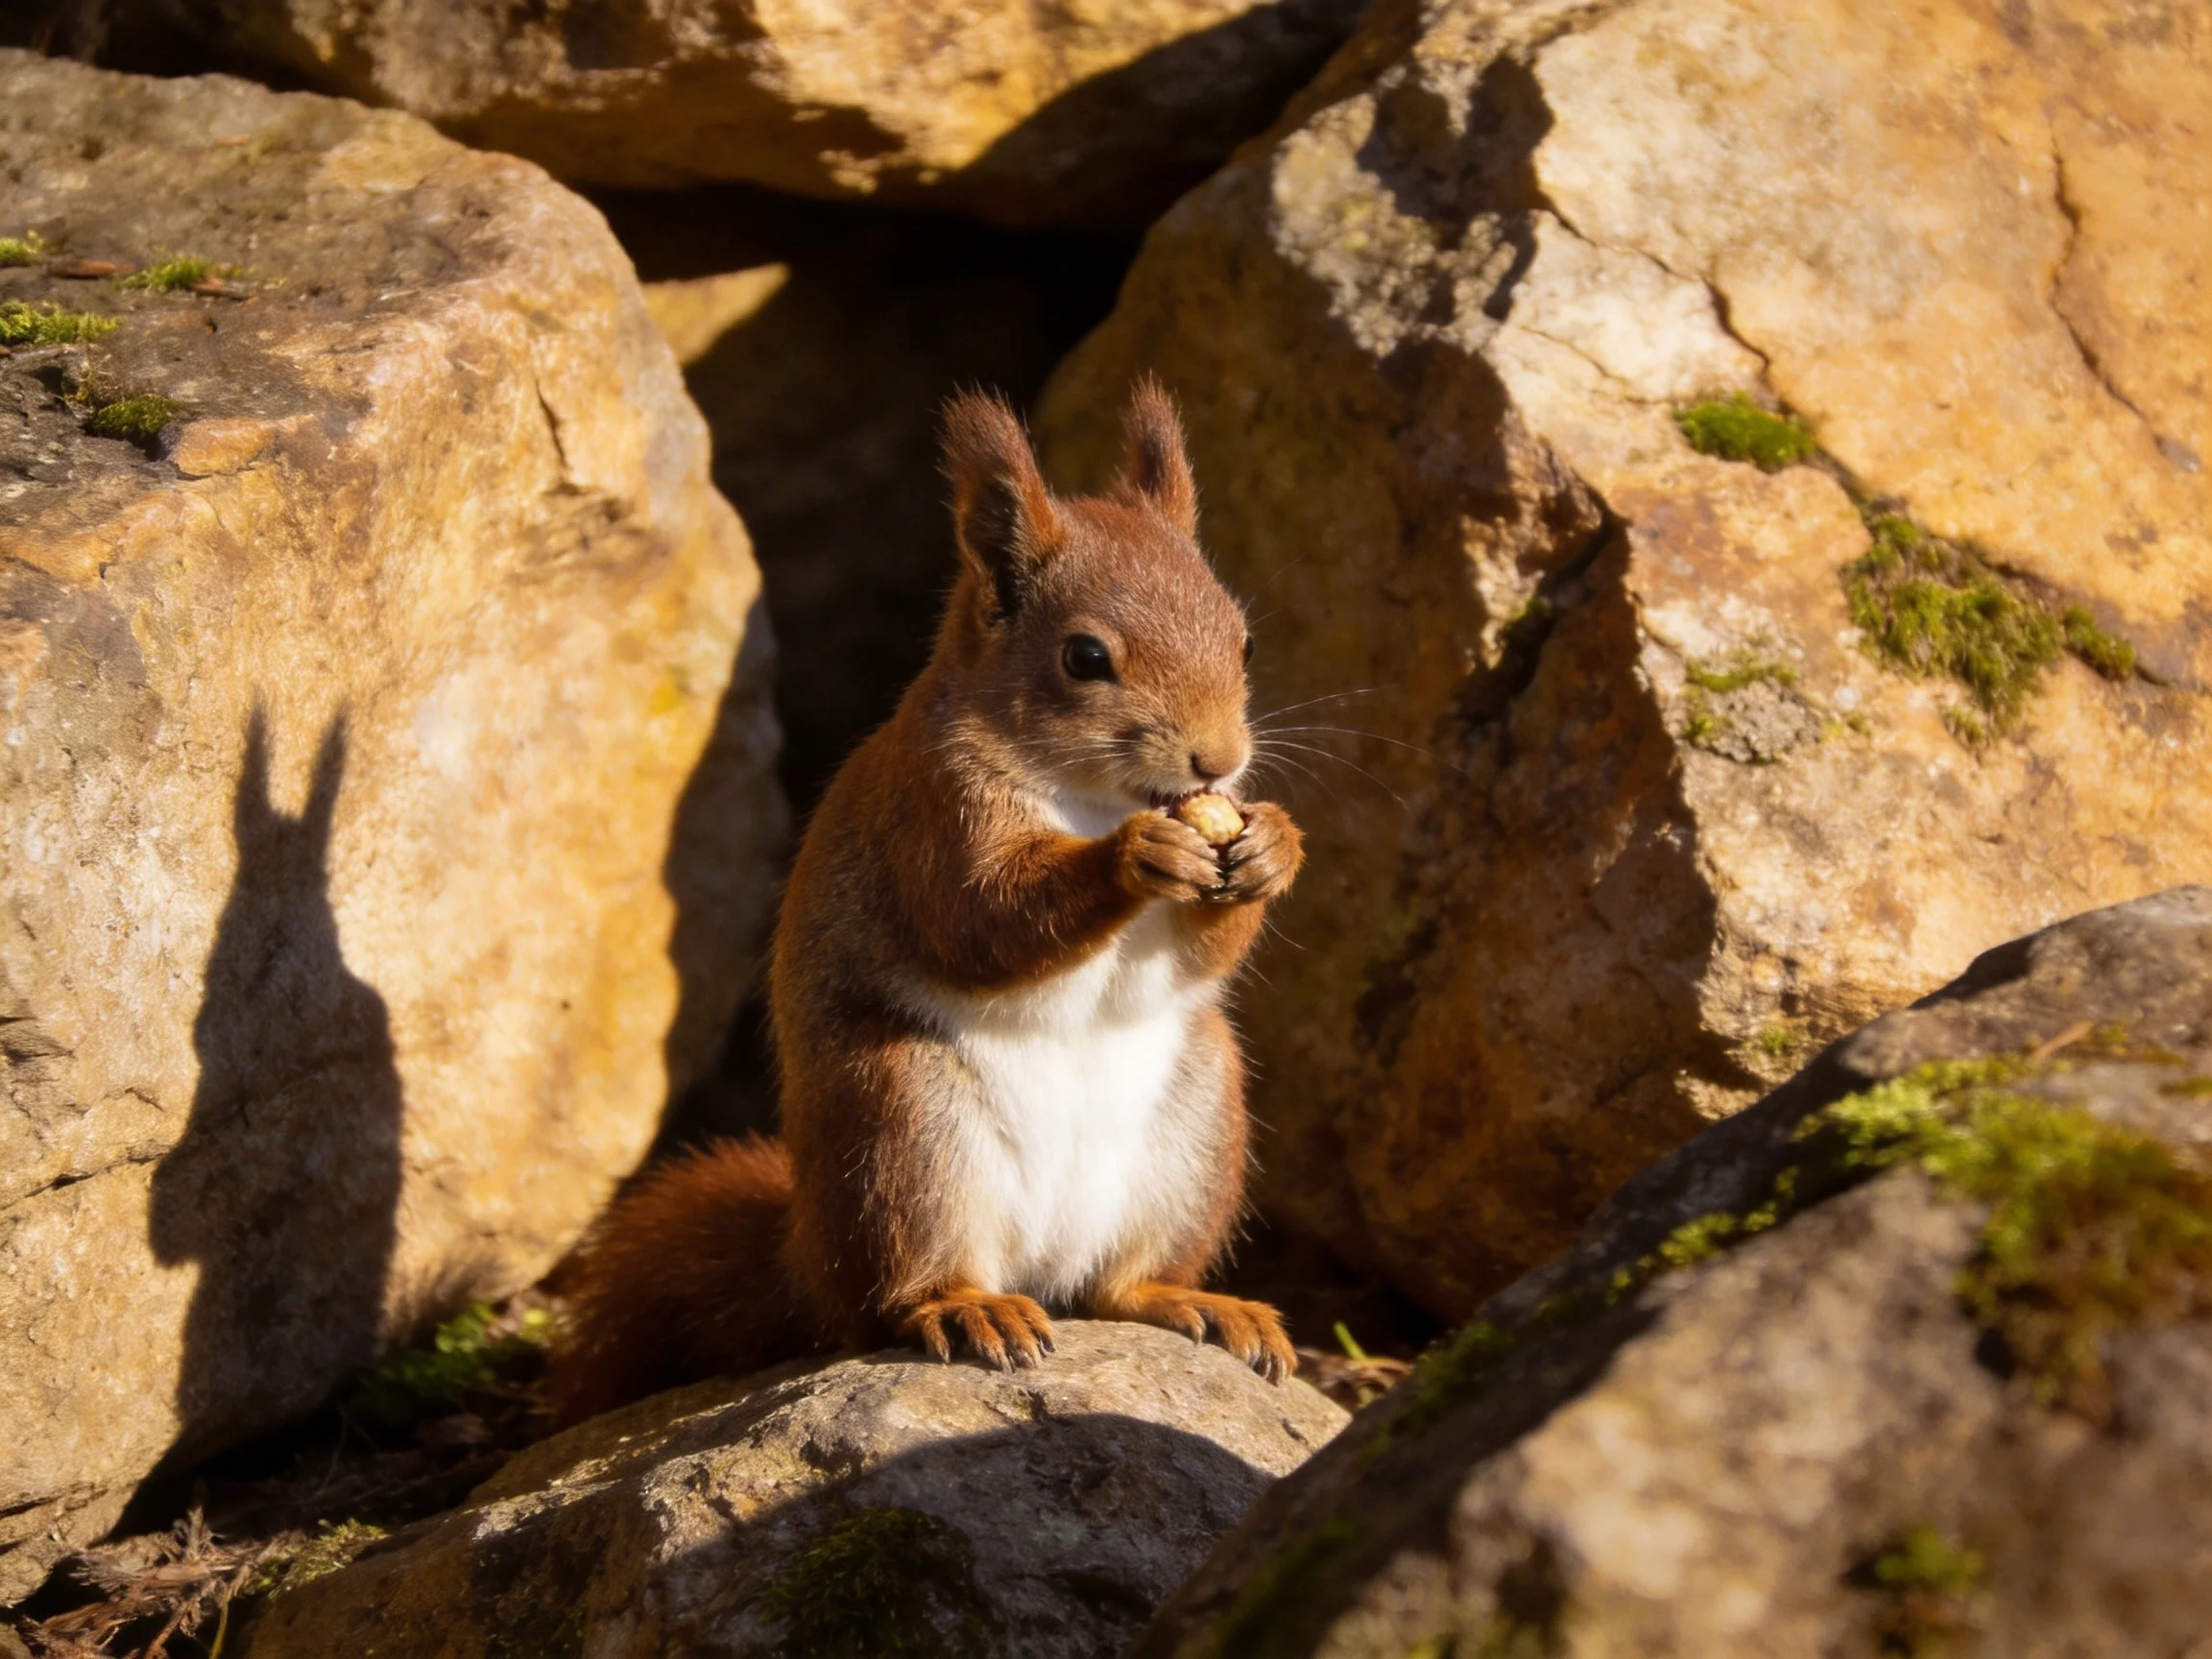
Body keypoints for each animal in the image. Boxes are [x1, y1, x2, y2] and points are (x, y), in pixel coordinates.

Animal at [547, 379, 1304, 1423]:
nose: (1217, 761)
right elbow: (980, 920)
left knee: (1117, 1284)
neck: (1091, 794)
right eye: (1084, 657)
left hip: (1197, 1128)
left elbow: (1202, 954)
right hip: (904, 1127)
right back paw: (962, 1308)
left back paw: (1188, 1300)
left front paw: (1273, 844)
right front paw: (1134, 857)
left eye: (1245, 638)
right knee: (897, 1293)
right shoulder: (934, 812)